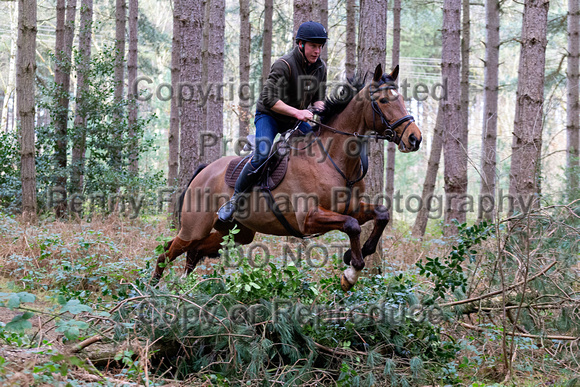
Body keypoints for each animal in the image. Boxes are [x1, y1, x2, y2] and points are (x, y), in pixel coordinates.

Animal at [154, 64, 424, 292]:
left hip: (236, 233)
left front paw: (355, 256)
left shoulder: (351, 207)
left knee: (194, 251)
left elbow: (381, 214)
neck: (333, 160)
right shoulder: (309, 218)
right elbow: (352, 225)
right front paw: (351, 272)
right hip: (194, 227)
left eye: (401, 98)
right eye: (383, 100)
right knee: (167, 251)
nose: (415, 138)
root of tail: (204, 171)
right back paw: (152, 288)